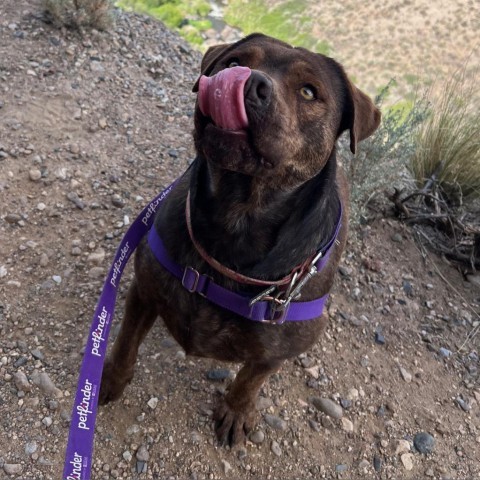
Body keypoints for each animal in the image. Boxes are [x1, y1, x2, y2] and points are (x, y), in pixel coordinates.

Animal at [99, 32, 380, 446]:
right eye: (234, 61)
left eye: (309, 91)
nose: (247, 81)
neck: (237, 215)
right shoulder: (143, 291)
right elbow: (125, 344)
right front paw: (108, 380)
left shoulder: (283, 347)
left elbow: (252, 377)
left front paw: (235, 410)